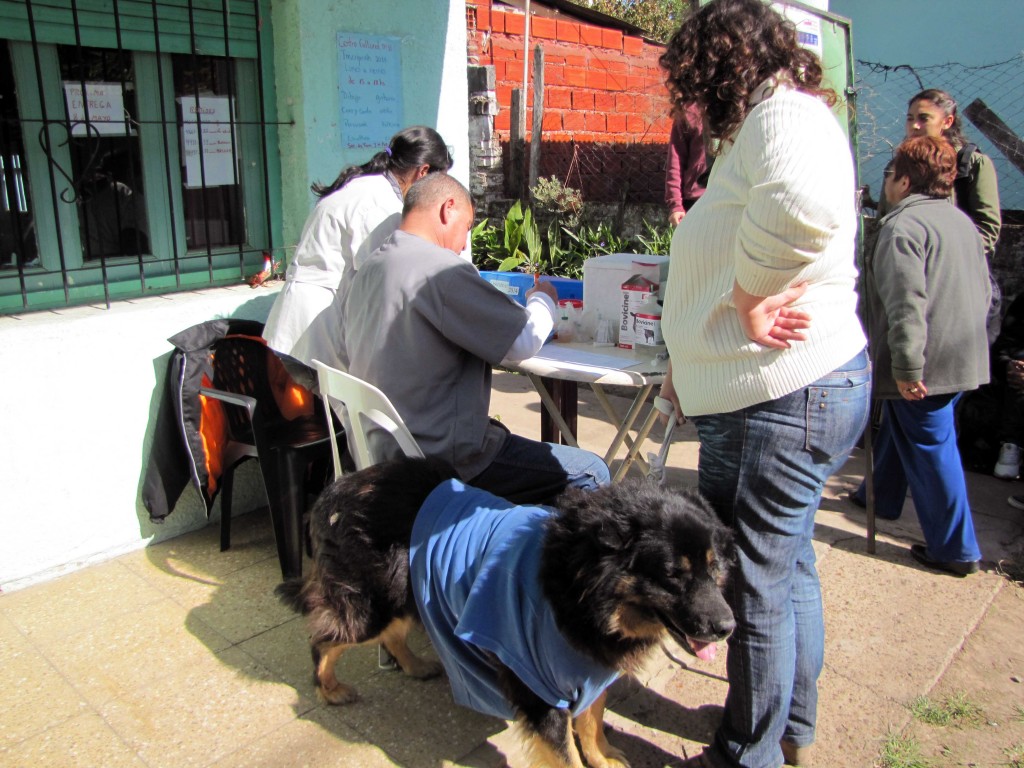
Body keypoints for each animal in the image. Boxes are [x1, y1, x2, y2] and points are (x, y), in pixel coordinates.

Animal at [276, 460, 733, 765]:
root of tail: (334, 491)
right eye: (673, 574)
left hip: (406, 594)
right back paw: (329, 689)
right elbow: (565, 751)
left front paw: (602, 756)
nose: (728, 627)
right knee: (324, 638)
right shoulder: (539, 689)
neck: (577, 581)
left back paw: (416, 666)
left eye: (714, 567)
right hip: (373, 604)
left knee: (391, 633)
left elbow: (592, 719)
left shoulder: (588, 667)